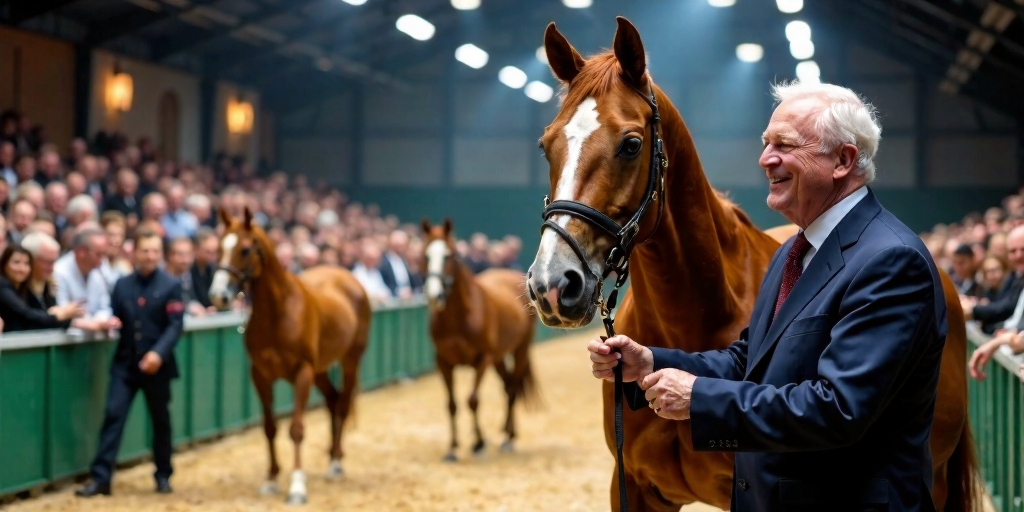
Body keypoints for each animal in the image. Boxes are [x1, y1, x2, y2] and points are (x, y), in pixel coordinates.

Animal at [207, 207, 372, 503]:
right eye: (218, 247)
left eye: (245, 249)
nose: (218, 295)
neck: (279, 311)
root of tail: (349, 279)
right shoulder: (260, 375)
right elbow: (269, 428)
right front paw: (271, 479)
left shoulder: (302, 372)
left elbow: (296, 429)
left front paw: (296, 486)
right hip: (320, 370)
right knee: (332, 400)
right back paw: (331, 456)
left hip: (349, 360)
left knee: (342, 403)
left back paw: (336, 464)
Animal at [419, 218, 540, 462]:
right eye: (425, 255)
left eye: (449, 255)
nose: (435, 296)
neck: (459, 317)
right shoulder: (443, 362)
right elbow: (452, 404)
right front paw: (453, 448)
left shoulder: (482, 360)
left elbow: (472, 400)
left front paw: (479, 443)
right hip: (498, 358)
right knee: (507, 386)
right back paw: (506, 432)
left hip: (520, 349)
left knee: (513, 387)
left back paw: (508, 439)